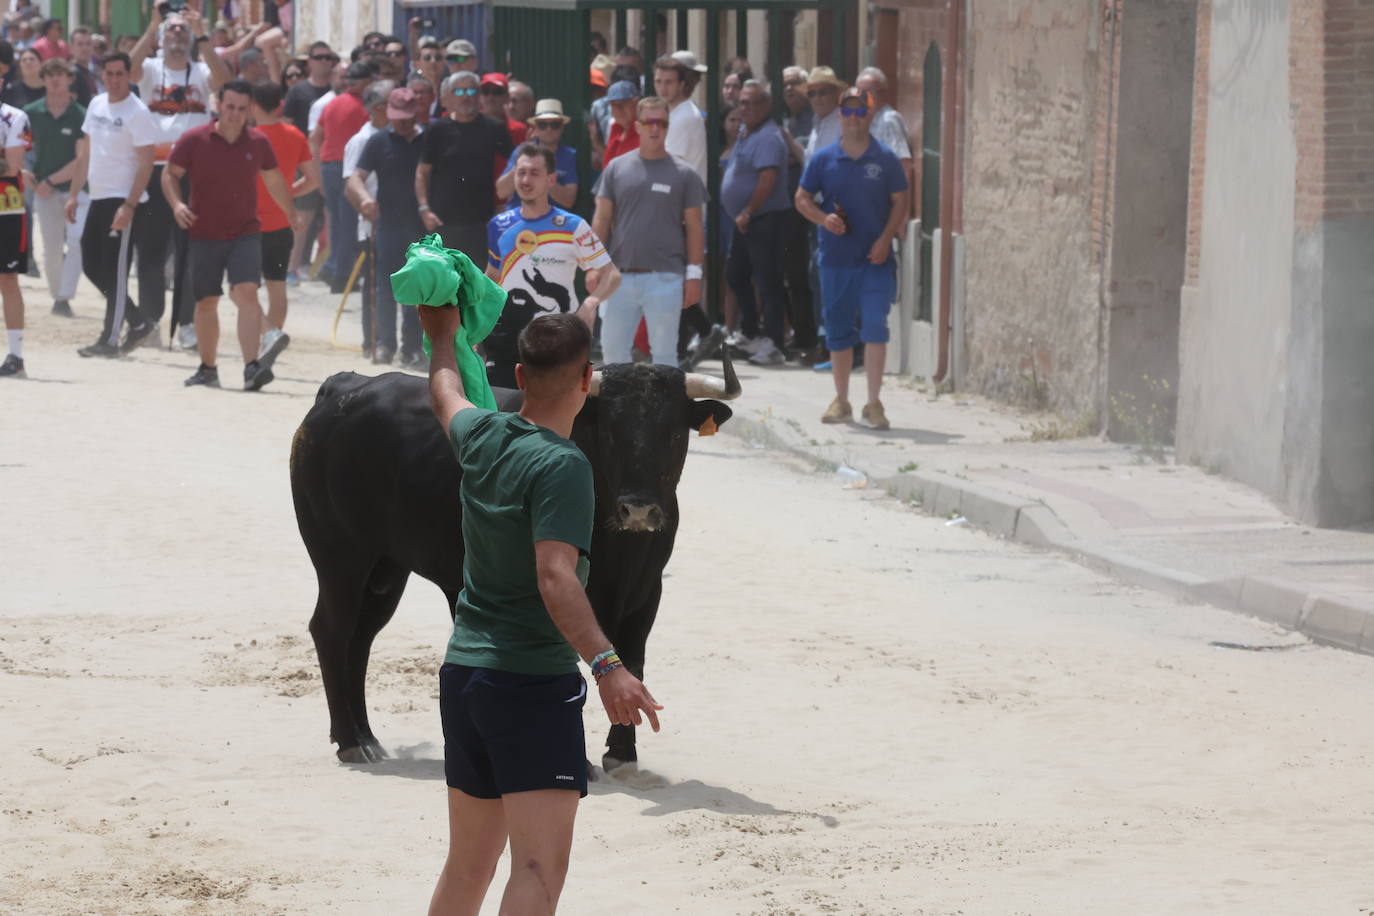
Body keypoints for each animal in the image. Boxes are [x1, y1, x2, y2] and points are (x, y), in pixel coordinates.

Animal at [289, 357, 741, 769]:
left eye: (673, 431)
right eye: (612, 430)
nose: (639, 510)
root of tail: (344, 388)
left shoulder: (647, 590)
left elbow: (633, 659)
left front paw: (622, 752)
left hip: (385, 569)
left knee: (361, 638)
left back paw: (367, 737)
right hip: (341, 556)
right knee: (332, 630)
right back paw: (351, 741)